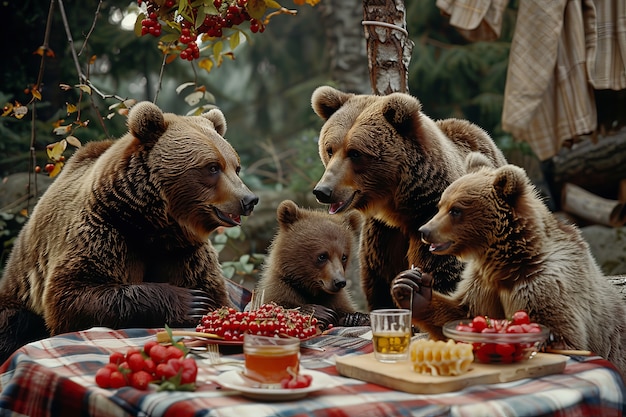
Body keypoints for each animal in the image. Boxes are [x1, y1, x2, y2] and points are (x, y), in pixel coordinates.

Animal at [0, 101, 256, 360]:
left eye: (236, 167)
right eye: (212, 167)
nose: (248, 199)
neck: (150, 225)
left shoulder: (184, 251)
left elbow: (215, 292)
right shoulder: (105, 230)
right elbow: (74, 294)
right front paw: (192, 302)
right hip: (18, 294)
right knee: (14, 322)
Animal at [310, 86, 504, 310]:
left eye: (355, 153)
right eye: (329, 149)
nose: (323, 190)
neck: (400, 208)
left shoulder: (437, 226)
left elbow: (443, 277)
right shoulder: (382, 236)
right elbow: (378, 287)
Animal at [390, 158, 624, 380]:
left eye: (455, 210)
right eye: (440, 205)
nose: (425, 230)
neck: (508, 265)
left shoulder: (544, 285)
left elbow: (565, 336)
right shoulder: (483, 285)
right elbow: (461, 311)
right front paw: (411, 287)